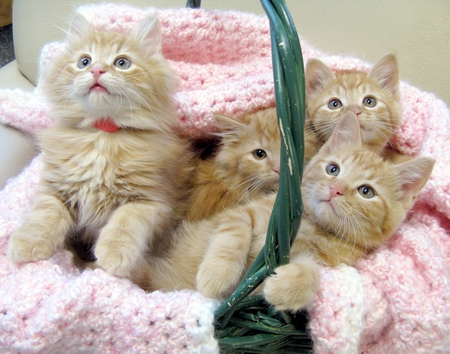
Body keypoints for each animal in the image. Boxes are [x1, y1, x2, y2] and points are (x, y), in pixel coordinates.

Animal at [6, 13, 193, 276]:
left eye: (122, 63)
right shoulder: (56, 188)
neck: (102, 137)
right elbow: (45, 214)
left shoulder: (153, 200)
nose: (96, 69)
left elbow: (126, 219)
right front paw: (28, 241)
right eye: (84, 61)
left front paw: (113, 253)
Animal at [137, 111, 432, 312]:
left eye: (366, 192)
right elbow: (232, 235)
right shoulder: (239, 214)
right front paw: (217, 275)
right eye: (333, 169)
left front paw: (284, 288)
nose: (335, 189)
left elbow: (312, 276)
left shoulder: (323, 262)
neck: (312, 227)